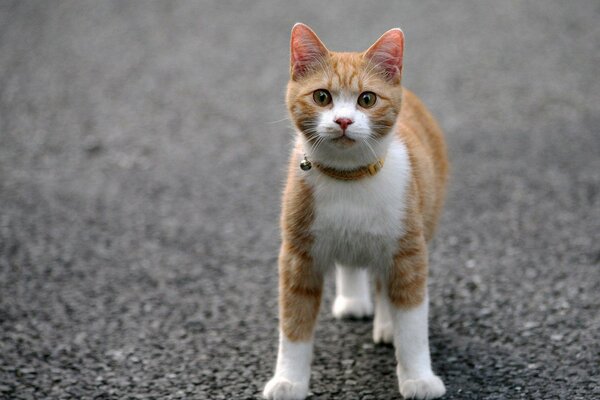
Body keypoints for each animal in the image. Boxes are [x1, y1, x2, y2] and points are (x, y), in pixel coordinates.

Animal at [264, 23, 448, 398]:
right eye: (322, 97)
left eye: (367, 99)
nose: (344, 120)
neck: (348, 178)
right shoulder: (298, 256)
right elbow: (293, 324)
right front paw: (289, 380)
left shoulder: (409, 251)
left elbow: (412, 323)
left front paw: (418, 378)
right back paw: (352, 299)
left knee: (384, 281)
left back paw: (386, 322)